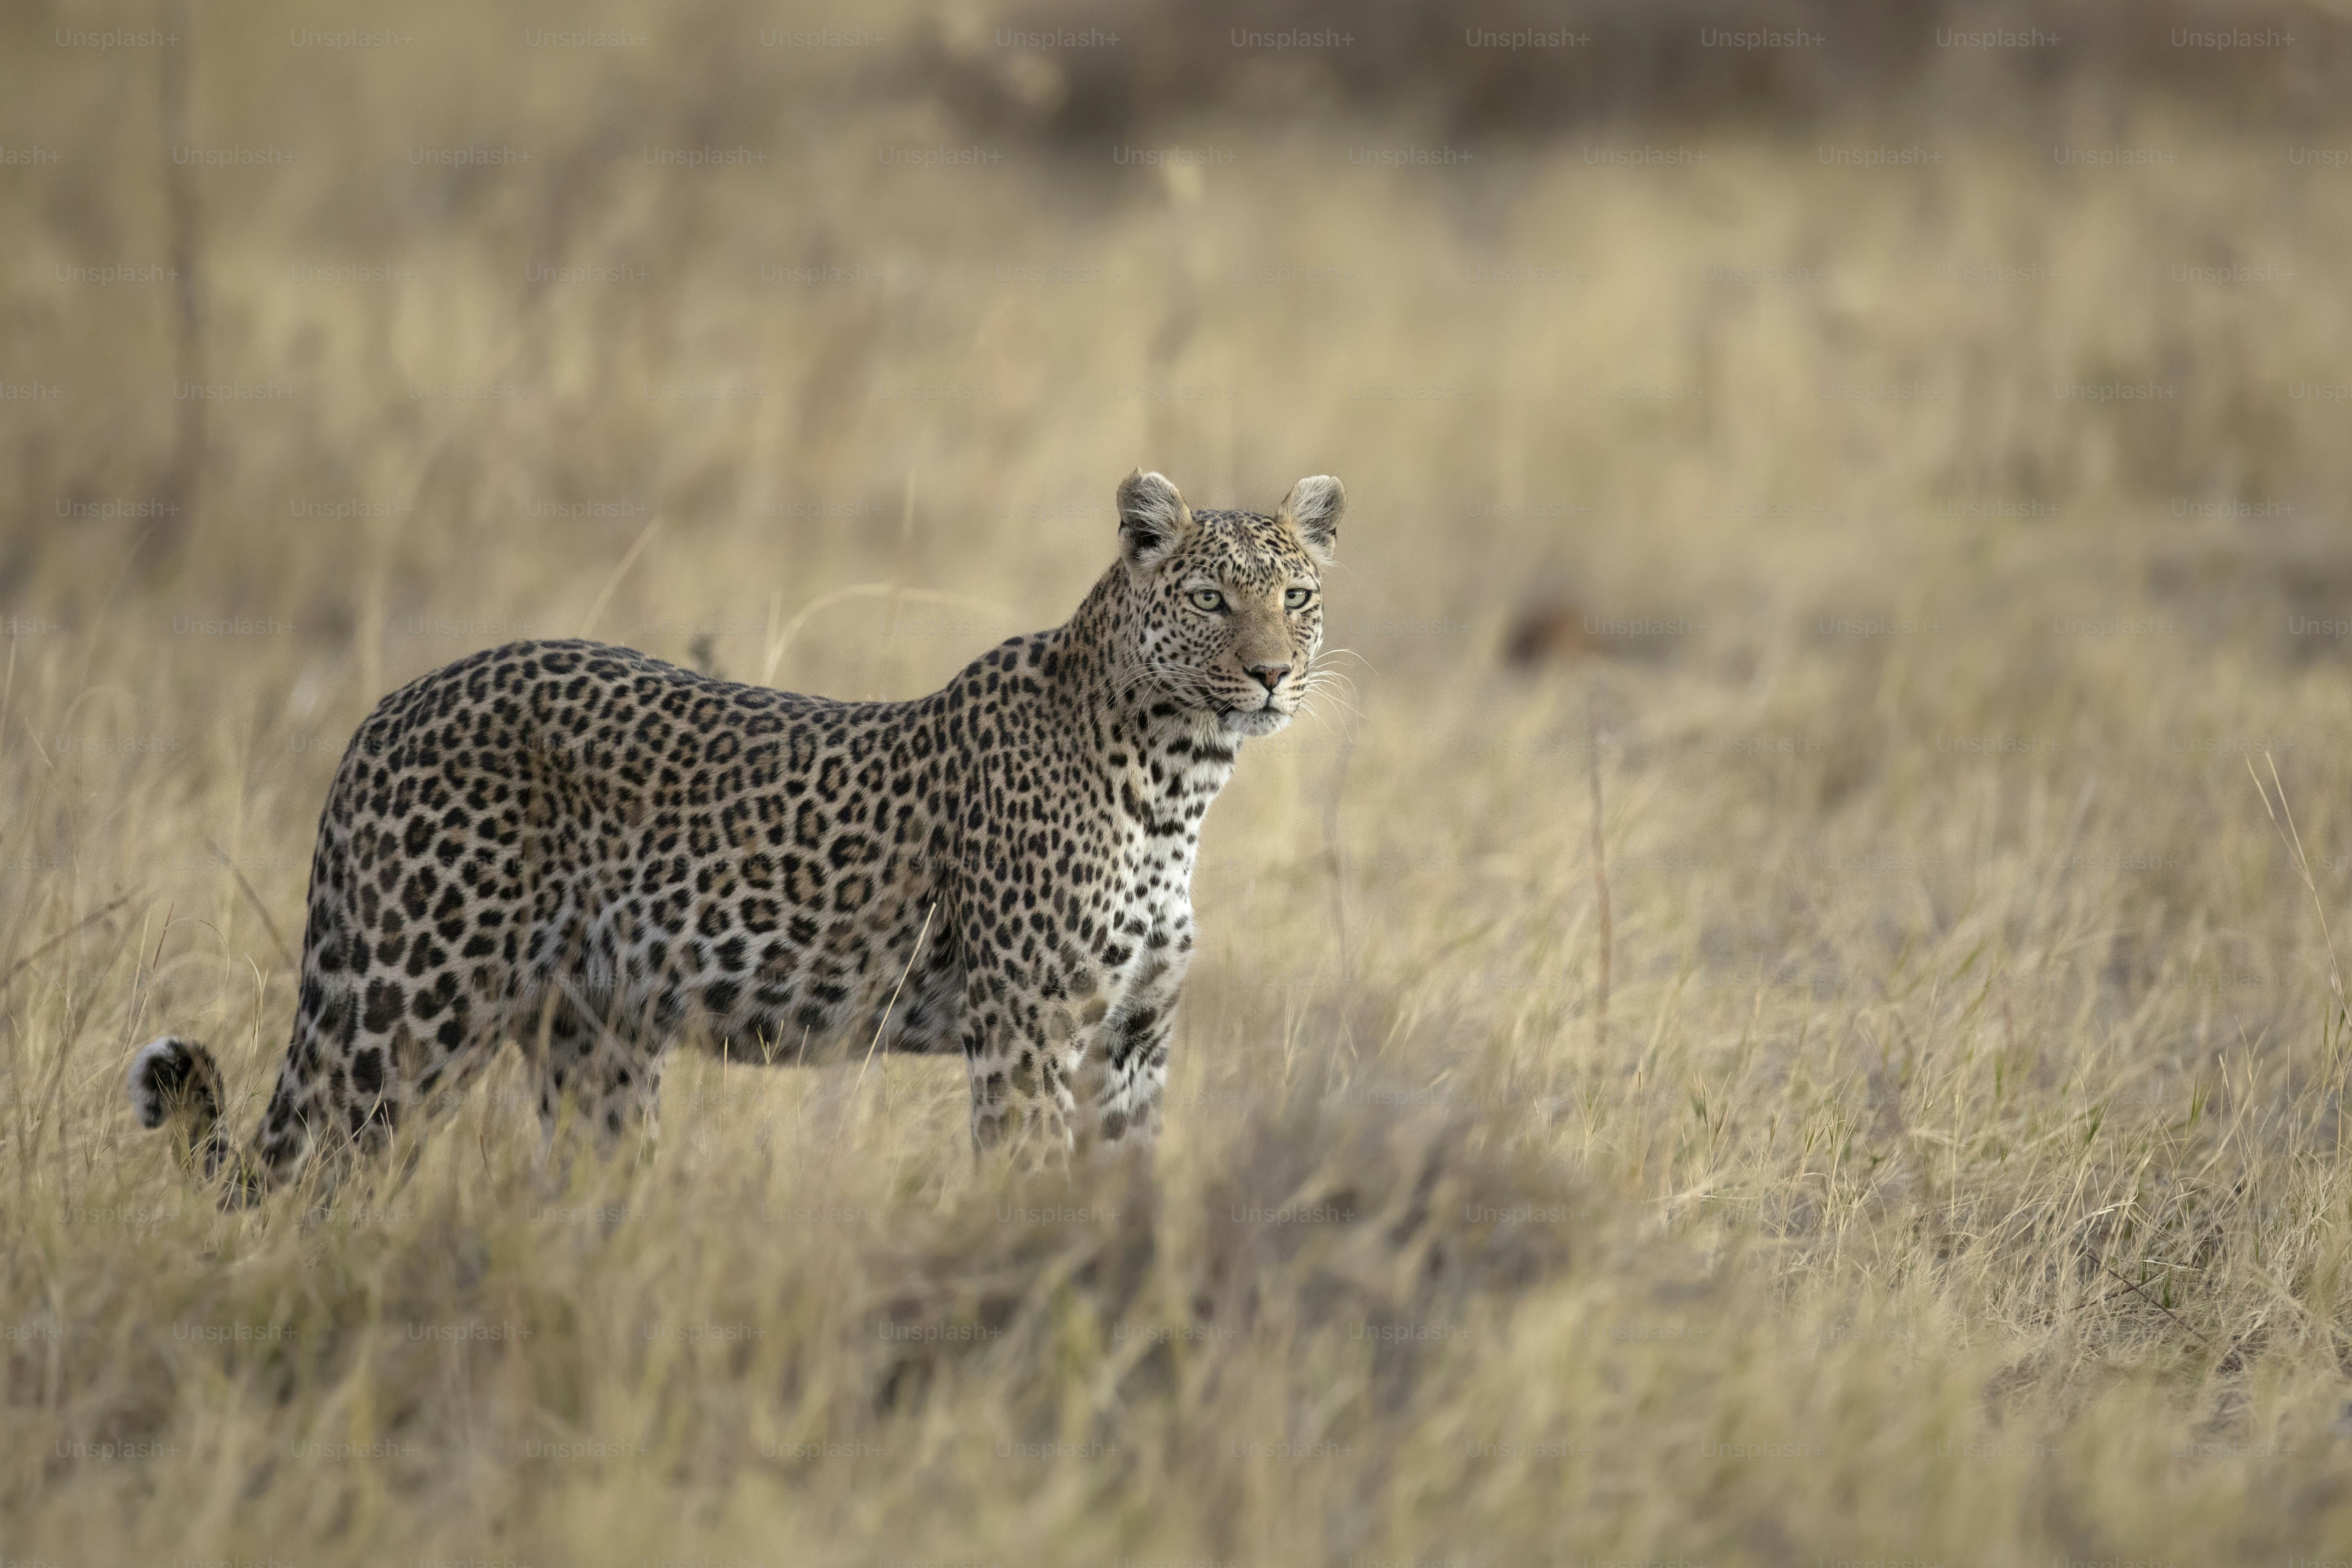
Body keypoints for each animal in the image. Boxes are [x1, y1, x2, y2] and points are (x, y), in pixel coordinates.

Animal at [130, 469, 1346, 1199]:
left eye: (1295, 594)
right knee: (310, 1181)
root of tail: (389, 707)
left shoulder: (1133, 1041)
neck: (1180, 783)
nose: (1269, 674)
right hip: (404, 1009)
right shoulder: (1029, 1036)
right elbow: (1028, 1190)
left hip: (595, 1041)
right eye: (1207, 599)